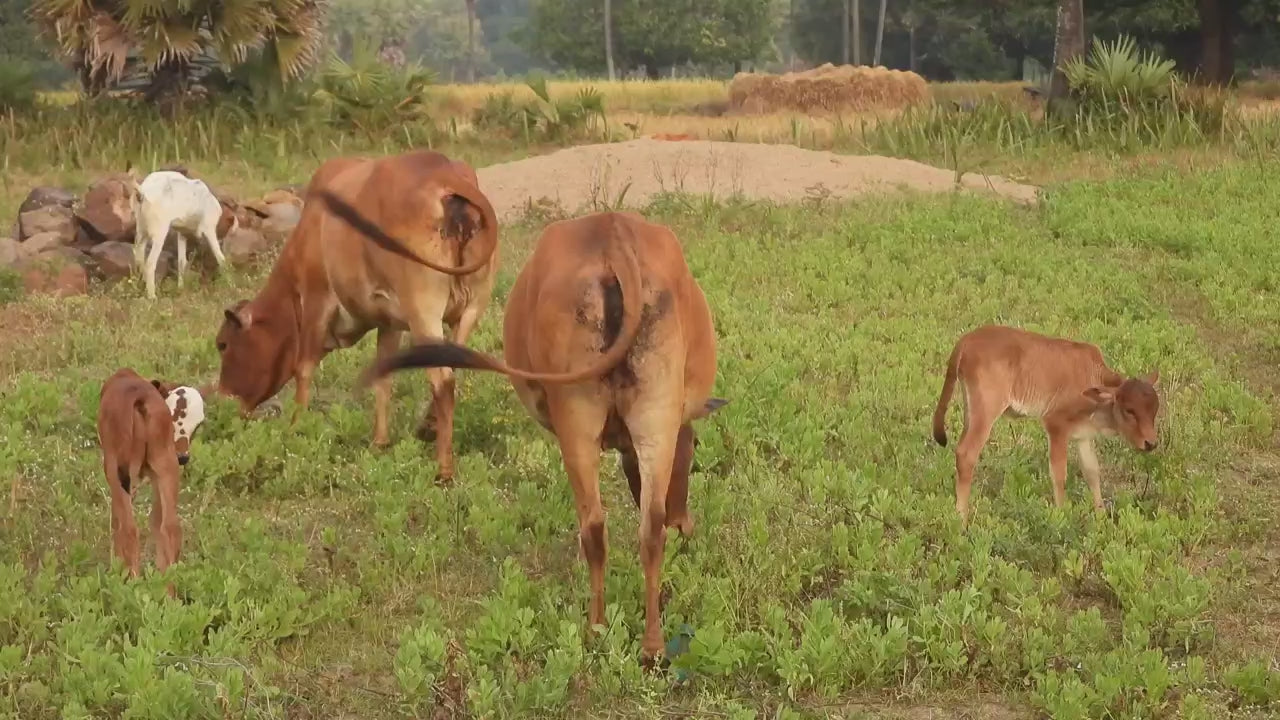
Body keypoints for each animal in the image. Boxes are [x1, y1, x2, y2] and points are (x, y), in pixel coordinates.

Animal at [96, 369, 206, 587]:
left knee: (129, 529)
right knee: (170, 528)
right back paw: (168, 589)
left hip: (116, 471)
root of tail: (139, 396)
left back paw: (131, 584)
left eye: (198, 425)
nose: (183, 457)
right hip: (167, 468)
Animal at [214, 150, 498, 481]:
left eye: (223, 344)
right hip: (471, 308)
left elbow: (303, 368)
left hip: (424, 311)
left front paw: (296, 428)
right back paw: (429, 428)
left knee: (443, 382)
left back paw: (443, 470)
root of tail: (444, 174)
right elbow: (384, 376)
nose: (222, 400)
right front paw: (380, 441)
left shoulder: (317, 299)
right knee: (454, 368)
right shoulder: (390, 322)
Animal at [354, 210, 727, 666]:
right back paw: (648, 645)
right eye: (692, 453)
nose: (687, 527)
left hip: (580, 418)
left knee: (596, 526)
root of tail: (613, 235)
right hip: (648, 417)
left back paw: (597, 630)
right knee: (647, 528)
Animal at [932, 324, 1161, 523]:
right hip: (987, 410)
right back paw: (961, 518)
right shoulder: (1056, 425)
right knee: (966, 454)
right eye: (1129, 410)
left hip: (971, 410)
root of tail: (966, 341)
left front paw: (1101, 516)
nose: (1151, 443)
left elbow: (1092, 472)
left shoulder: (1083, 435)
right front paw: (1061, 514)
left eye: (1154, 409)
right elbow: (1059, 474)